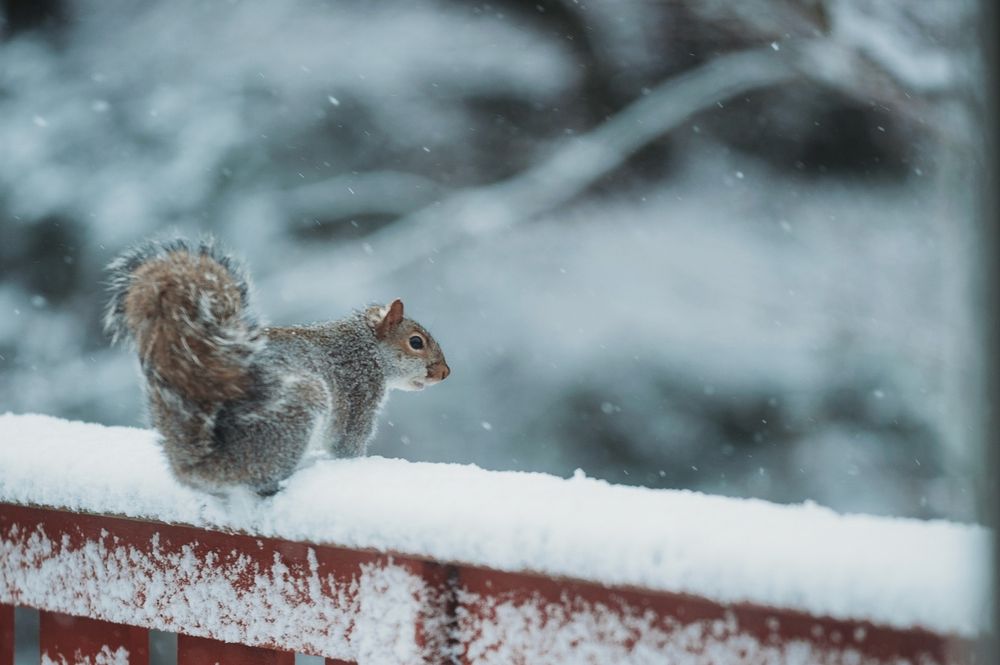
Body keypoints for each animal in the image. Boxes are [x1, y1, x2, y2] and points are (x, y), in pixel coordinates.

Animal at [104, 236, 450, 496]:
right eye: (416, 342)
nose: (445, 372)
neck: (367, 346)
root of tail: (202, 467)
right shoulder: (359, 391)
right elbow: (347, 445)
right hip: (299, 408)